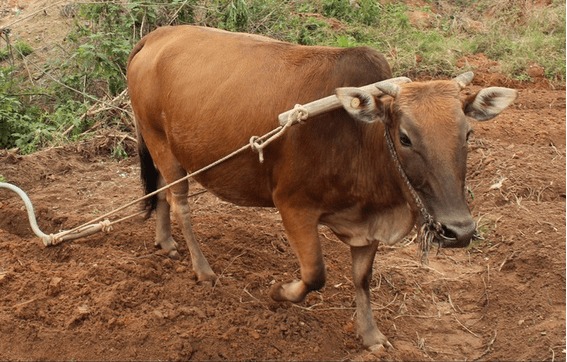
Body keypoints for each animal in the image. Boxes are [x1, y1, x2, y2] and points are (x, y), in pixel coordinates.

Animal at [126, 25, 516, 350]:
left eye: (467, 133)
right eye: (405, 137)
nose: (459, 231)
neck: (360, 138)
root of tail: (157, 36)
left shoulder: (367, 224)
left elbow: (362, 278)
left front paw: (370, 336)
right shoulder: (293, 207)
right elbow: (315, 274)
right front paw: (279, 291)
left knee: (160, 190)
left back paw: (165, 242)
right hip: (162, 144)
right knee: (179, 203)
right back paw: (202, 269)